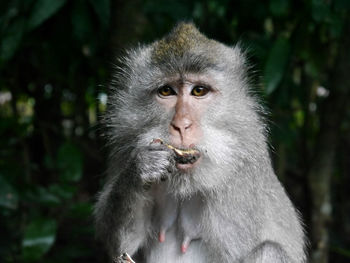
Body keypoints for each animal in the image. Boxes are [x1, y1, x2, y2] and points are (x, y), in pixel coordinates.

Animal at [95, 23, 306, 263]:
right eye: (166, 91)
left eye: (199, 91)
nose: (181, 125)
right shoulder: (124, 143)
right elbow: (123, 246)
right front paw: (142, 167)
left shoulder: (240, 175)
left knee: (269, 250)